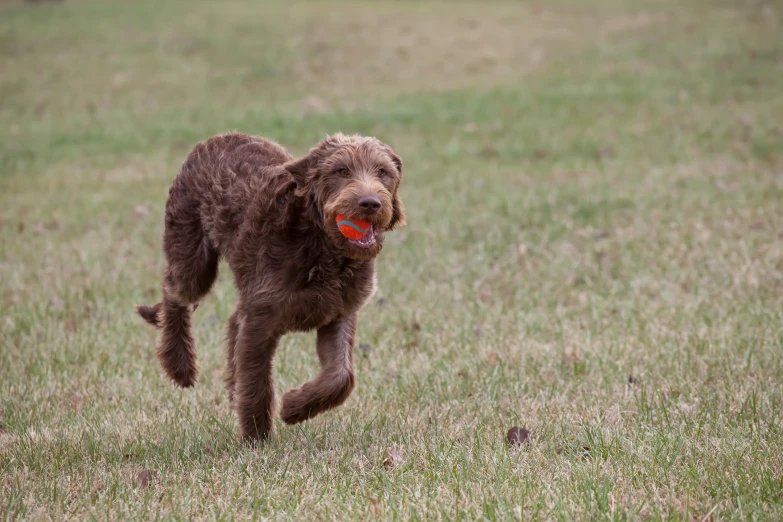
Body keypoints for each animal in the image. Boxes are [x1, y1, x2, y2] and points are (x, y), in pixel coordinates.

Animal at [136, 131, 404, 438]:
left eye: (383, 172)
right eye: (341, 171)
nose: (370, 203)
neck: (321, 247)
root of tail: (215, 139)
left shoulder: (338, 313)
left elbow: (341, 377)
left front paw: (295, 407)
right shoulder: (260, 319)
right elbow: (256, 381)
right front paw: (255, 438)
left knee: (230, 320)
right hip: (191, 256)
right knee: (174, 292)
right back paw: (179, 364)